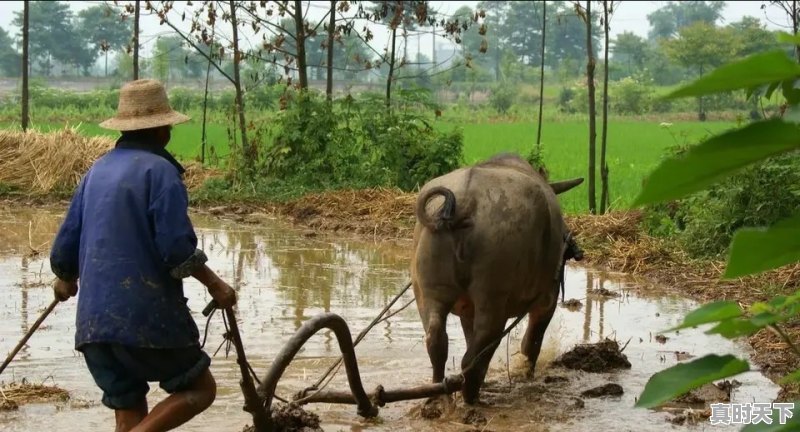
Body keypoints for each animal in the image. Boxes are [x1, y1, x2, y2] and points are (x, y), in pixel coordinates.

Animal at [412, 152, 580, 404]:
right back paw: (472, 398)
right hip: (492, 299)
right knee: (477, 352)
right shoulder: (547, 300)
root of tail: (465, 203)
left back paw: (439, 395)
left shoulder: (467, 311)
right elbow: (532, 342)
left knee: (436, 340)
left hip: (427, 291)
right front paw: (527, 375)